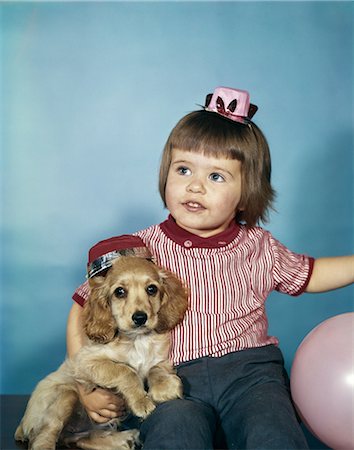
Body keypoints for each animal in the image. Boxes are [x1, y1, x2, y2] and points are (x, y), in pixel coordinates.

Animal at [14, 256, 188, 450]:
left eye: (152, 289)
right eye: (120, 292)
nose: (140, 318)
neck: (136, 339)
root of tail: (22, 424)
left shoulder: (161, 358)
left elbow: (154, 368)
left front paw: (165, 388)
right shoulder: (86, 362)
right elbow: (126, 371)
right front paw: (141, 402)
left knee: (79, 438)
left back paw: (125, 439)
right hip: (65, 396)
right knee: (44, 437)